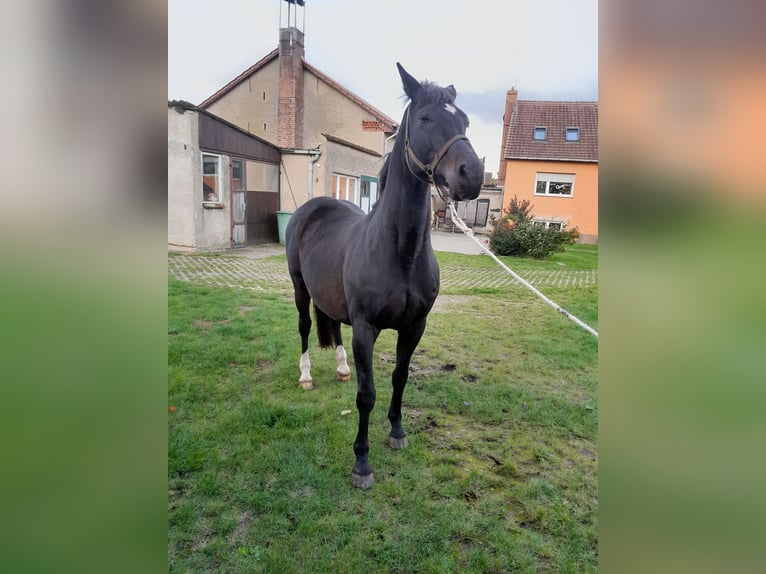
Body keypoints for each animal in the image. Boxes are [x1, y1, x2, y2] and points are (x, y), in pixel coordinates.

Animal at [284, 64, 484, 490]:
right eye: (425, 118)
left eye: (464, 120)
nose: (471, 174)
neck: (400, 252)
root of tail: (311, 207)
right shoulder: (366, 329)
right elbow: (367, 394)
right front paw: (361, 463)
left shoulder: (414, 326)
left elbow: (399, 378)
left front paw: (396, 432)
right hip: (300, 289)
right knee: (306, 328)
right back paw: (306, 377)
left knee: (332, 328)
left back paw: (341, 369)